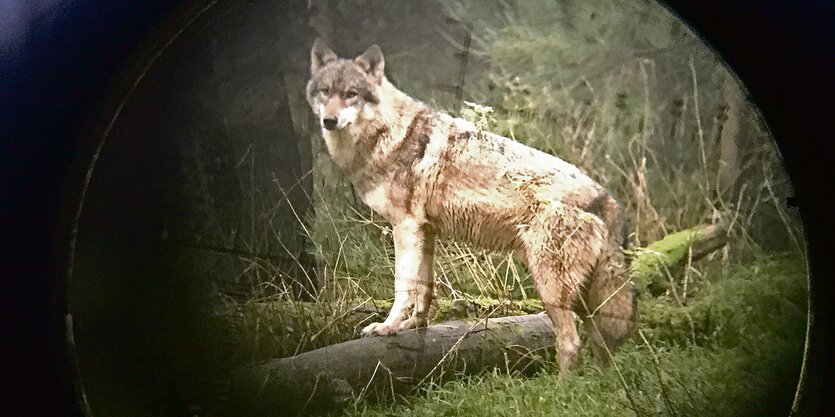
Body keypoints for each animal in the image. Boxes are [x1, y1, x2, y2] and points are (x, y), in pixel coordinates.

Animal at [306, 38, 640, 370]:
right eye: (326, 91)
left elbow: (403, 287)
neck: (388, 133)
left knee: (571, 343)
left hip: (551, 288)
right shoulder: (426, 232)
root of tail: (606, 197)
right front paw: (415, 325)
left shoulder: (405, 228)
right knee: (602, 347)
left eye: (351, 94)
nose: (329, 120)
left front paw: (387, 327)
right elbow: (425, 288)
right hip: (583, 299)